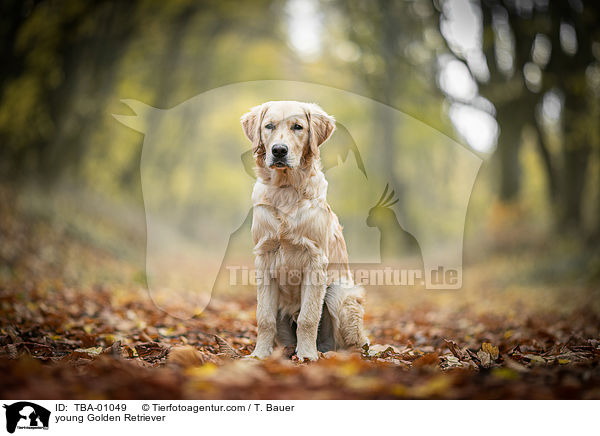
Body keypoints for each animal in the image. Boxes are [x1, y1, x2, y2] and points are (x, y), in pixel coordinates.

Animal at [241, 100, 368, 360]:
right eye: (269, 126)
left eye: (298, 127)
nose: (279, 150)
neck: (286, 189)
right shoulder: (264, 258)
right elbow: (264, 317)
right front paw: (259, 355)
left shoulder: (315, 260)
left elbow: (307, 318)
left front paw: (307, 355)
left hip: (339, 294)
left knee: (351, 345)